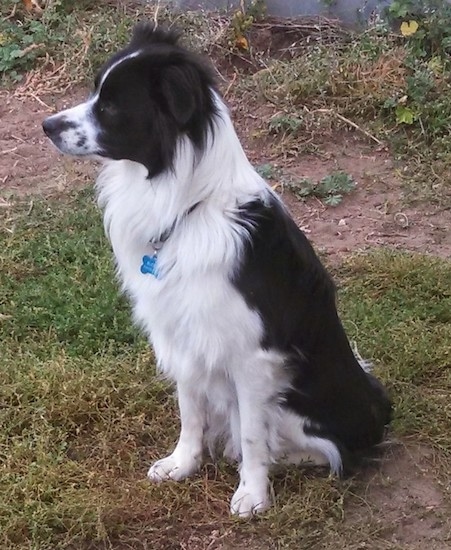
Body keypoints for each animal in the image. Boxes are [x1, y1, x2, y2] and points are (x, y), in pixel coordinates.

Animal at [42, 23, 392, 520]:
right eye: (94, 92)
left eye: (109, 106)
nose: (47, 126)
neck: (187, 208)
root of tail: (380, 408)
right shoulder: (184, 333)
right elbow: (190, 410)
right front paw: (182, 464)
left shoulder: (253, 358)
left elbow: (253, 434)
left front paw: (252, 494)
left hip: (296, 404)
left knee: (328, 449)